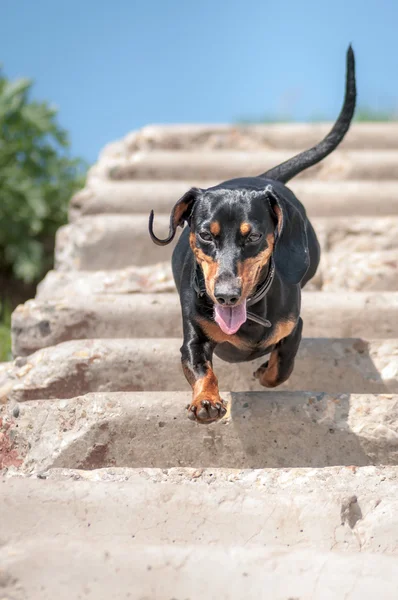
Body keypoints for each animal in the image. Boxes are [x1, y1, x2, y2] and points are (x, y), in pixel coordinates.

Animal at [150, 45, 358, 422]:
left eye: (253, 237)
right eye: (206, 235)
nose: (226, 296)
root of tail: (265, 178)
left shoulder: (294, 326)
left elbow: (283, 363)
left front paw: (264, 372)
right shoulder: (192, 340)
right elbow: (202, 369)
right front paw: (206, 401)